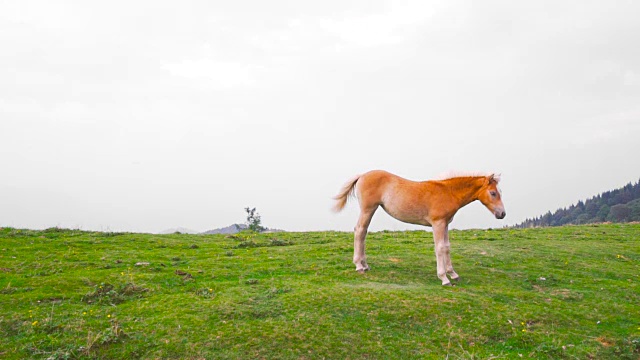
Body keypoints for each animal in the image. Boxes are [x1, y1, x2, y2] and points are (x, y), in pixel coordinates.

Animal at [336, 170, 504, 286]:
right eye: (493, 193)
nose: (502, 214)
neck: (448, 192)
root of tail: (362, 175)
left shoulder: (445, 224)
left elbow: (447, 247)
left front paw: (453, 274)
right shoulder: (438, 224)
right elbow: (440, 248)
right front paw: (444, 278)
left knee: (363, 232)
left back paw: (365, 265)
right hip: (368, 209)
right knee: (359, 231)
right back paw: (359, 265)